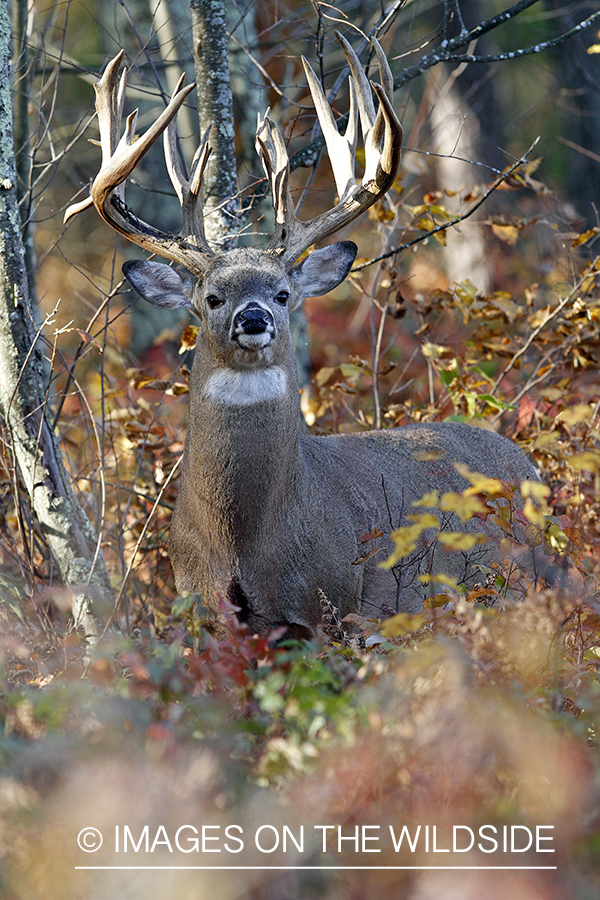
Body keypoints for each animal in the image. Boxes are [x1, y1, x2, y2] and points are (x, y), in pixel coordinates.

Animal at [65, 35, 540, 640]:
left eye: (283, 293)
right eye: (212, 297)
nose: (253, 318)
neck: (242, 540)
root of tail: (526, 463)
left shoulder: (330, 605)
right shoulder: (203, 612)